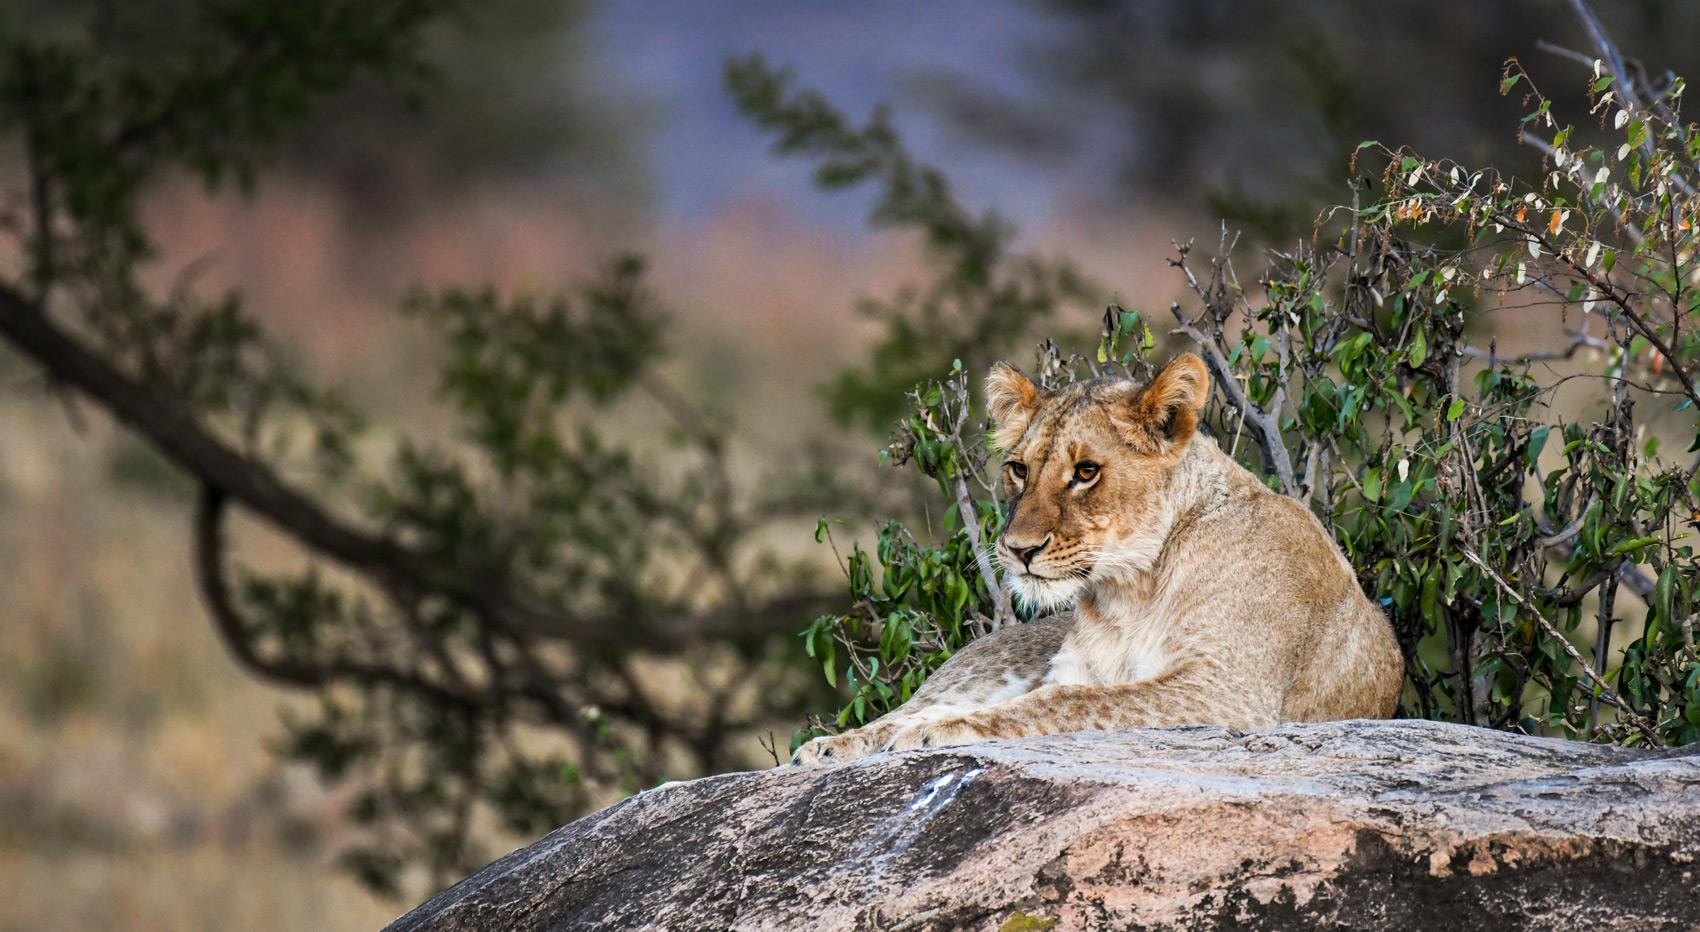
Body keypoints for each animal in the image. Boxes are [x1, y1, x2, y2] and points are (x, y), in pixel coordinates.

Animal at [792, 353, 1403, 765]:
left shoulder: (1227, 695)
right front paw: (903, 731)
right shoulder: (1082, 669)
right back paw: (830, 745)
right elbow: (1059, 695)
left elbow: (1068, 703)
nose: (1018, 550)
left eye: (1086, 472)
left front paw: (946, 730)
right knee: (910, 706)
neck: (1133, 587)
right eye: (1019, 469)